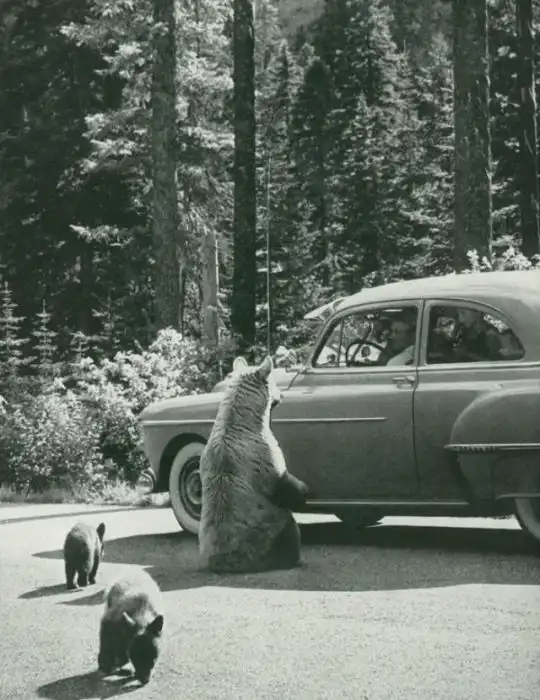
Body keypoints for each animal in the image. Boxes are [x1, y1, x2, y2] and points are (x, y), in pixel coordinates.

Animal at [198, 354, 309, 574]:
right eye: (274, 383)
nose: (282, 395)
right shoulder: (264, 455)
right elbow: (283, 483)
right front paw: (302, 489)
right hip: (268, 531)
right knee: (288, 528)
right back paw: (295, 558)